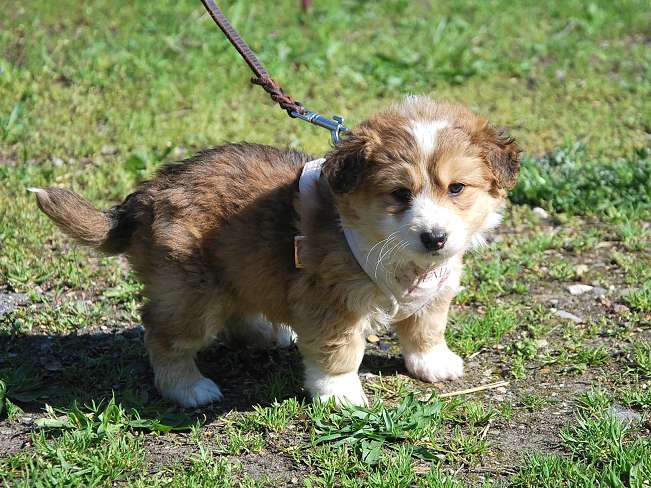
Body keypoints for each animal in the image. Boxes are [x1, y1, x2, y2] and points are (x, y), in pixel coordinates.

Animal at [31, 96, 520, 407]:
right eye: (400, 194)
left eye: (456, 188)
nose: (435, 238)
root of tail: (145, 197)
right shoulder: (331, 300)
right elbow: (339, 350)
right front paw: (340, 394)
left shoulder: (436, 288)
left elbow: (426, 328)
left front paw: (432, 363)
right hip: (190, 291)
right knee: (164, 334)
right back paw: (188, 388)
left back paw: (267, 334)